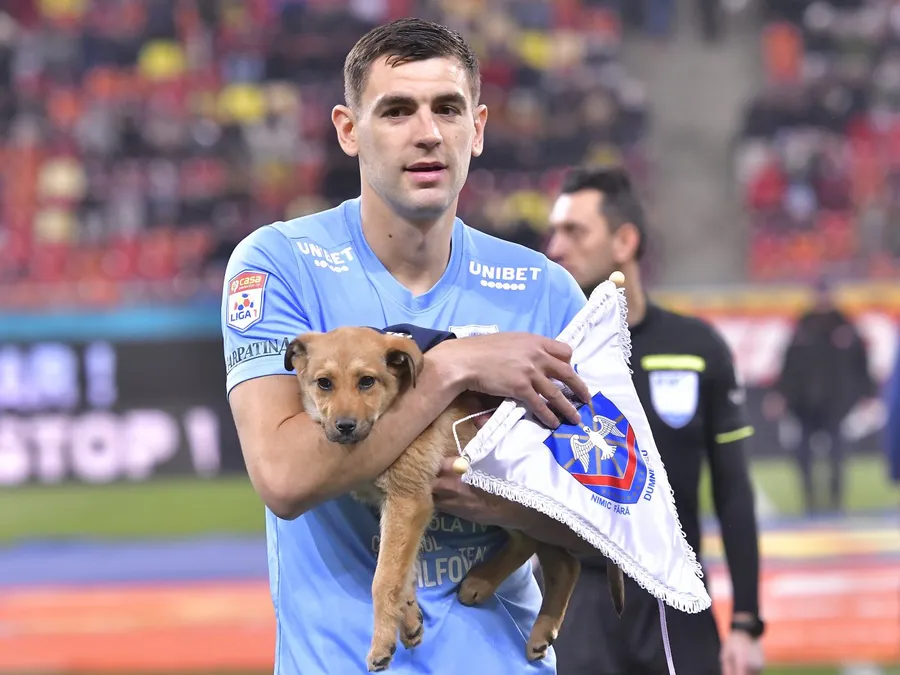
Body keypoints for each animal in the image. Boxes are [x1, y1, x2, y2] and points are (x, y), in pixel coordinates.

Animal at [284, 325, 625, 672]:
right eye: (324, 383)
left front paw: (381, 643)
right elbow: (403, 571)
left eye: (367, 381)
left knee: (559, 558)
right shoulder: (402, 508)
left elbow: (385, 578)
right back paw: (491, 591)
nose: (344, 427)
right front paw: (409, 619)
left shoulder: (408, 499)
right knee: (549, 554)